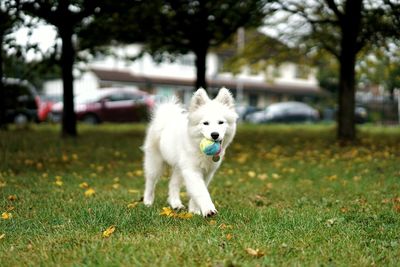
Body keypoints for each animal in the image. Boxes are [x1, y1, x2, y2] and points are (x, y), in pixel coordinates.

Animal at [144, 88, 238, 218]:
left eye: (221, 122)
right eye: (205, 123)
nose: (215, 134)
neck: (198, 147)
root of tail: (166, 117)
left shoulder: (207, 172)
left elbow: (198, 191)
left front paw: (194, 210)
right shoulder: (192, 171)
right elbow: (201, 191)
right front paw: (208, 210)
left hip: (179, 168)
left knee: (173, 184)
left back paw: (176, 204)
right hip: (155, 163)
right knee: (150, 182)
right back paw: (147, 202)